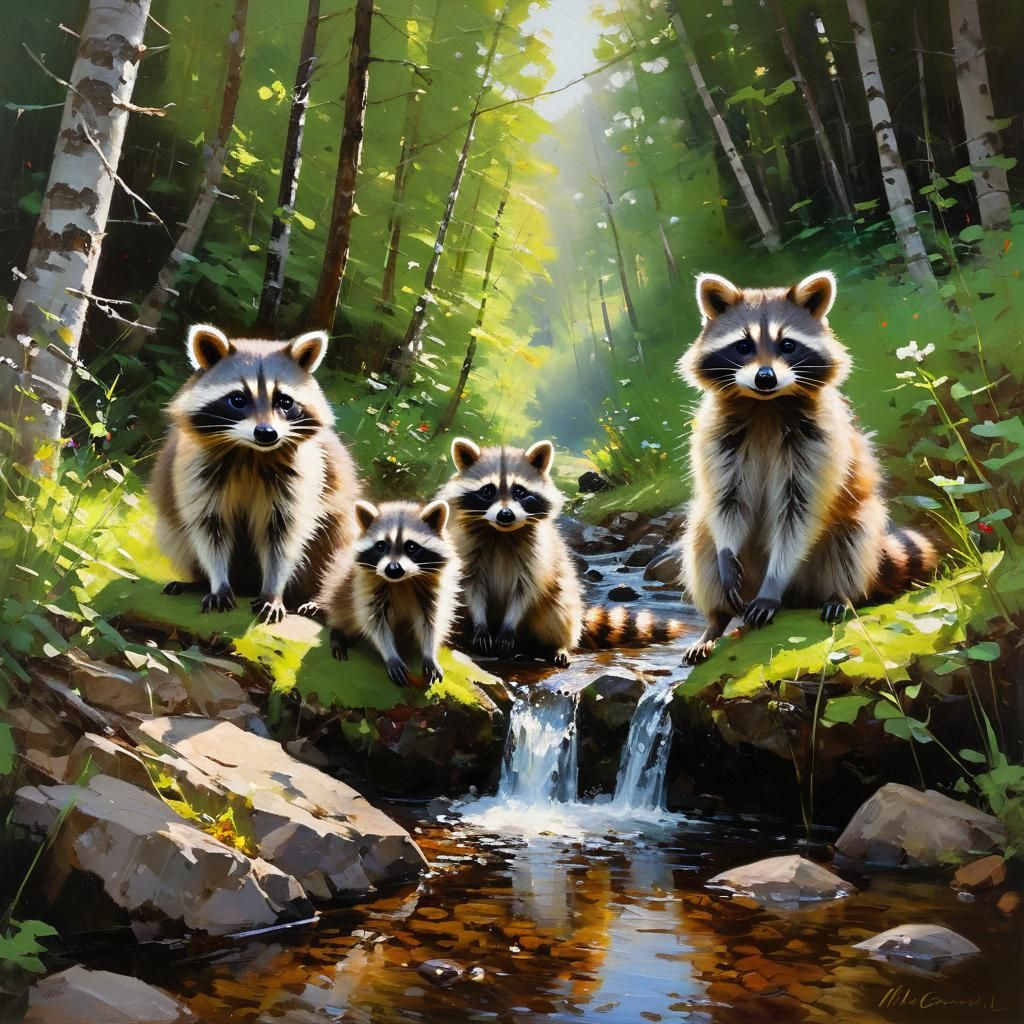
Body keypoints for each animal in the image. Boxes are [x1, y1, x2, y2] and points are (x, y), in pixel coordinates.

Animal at [151, 324, 360, 623]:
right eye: (238, 399)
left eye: (285, 401)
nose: (266, 433)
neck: (250, 453)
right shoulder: (193, 468)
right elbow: (209, 528)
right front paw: (218, 582)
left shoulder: (304, 474)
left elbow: (283, 535)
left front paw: (273, 591)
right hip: (172, 529)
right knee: (176, 535)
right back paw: (198, 582)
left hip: (341, 533)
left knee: (335, 556)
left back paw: (318, 598)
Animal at [313, 500, 460, 687]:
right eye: (381, 546)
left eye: (411, 546)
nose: (393, 569)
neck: (402, 581)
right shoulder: (364, 584)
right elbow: (375, 622)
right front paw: (390, 654)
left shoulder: (432, 590)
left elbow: (430, 622)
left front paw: (429, 653)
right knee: (339, 607)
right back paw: (338, 632)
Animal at [441, 439, 687, 667]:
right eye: (487, 491)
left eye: (519, 491)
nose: (506, 515)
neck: (502, 533)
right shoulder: (466, 549)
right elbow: (471, 587)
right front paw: (480, 626)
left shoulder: (539, 556)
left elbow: (525, 591)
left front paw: (509, 626)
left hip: (560, 598)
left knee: (557, 612)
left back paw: (557, 646)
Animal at [677, 271, 938, 664]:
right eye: (742, 346)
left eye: (788, 345)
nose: (765, 377)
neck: (766, 406)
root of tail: (797, 597)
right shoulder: (717, 437)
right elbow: (726, 502)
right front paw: (725, 557)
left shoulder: (821, 441)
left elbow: (798, 512)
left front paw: (773, 584)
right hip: (713, 543)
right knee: (701, 539)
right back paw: (715, 622)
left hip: (850, 530)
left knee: (853, 537)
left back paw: (838, 595)